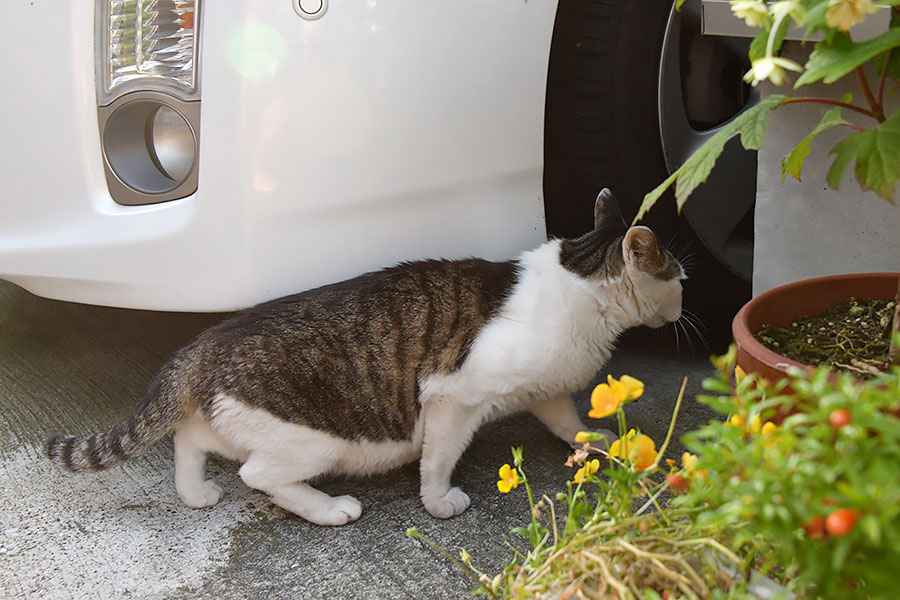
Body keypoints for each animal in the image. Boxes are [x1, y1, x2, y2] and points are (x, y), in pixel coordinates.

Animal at [45, 188, 684, 524]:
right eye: (678, 275)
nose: (685, 300)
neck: (577, 284)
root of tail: (204, 342)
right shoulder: (454, 399)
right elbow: (438, 460)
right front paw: (439, 502)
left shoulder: (546, 391)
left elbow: (568, 421)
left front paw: (599, 441)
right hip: (312, 438)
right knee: (257, 473)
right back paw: (330, 509)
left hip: (240, 420)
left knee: (190, 438)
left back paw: (195, 493)